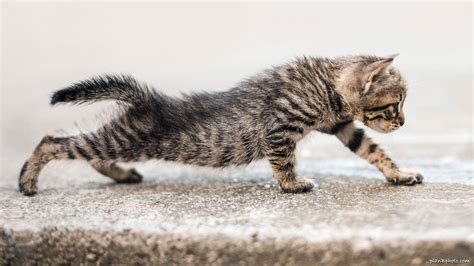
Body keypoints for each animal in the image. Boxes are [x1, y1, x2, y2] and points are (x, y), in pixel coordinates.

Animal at [19, 54, 426, 195]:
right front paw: (292, 185)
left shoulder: (342, 126)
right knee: (54, 142)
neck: (327, 83)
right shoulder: (278, 130)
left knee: (90, 152)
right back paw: (28, 180)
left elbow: (373, 150)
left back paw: (122, 174)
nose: (403, 122)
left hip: (123, 140)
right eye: (394, 106)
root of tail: (148, 98)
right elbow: (283, 161)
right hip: (126, 139)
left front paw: (399, 174)